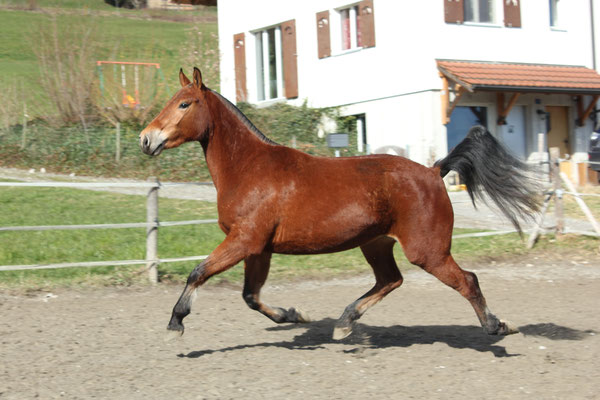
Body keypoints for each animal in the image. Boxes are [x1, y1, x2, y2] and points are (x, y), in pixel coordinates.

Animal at [139, 67, 540, 340]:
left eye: (184, 104)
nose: (146, 139)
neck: (250, 168)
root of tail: (433, 170)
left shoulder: (244, 240)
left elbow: (199, 272)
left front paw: (176, 321)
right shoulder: (258, 248)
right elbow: (250, 295)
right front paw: (294, 315)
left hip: (428, 251)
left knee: (466, 280)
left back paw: (496, 326)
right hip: (376, 243)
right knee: (390, 280)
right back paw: (344, 323)